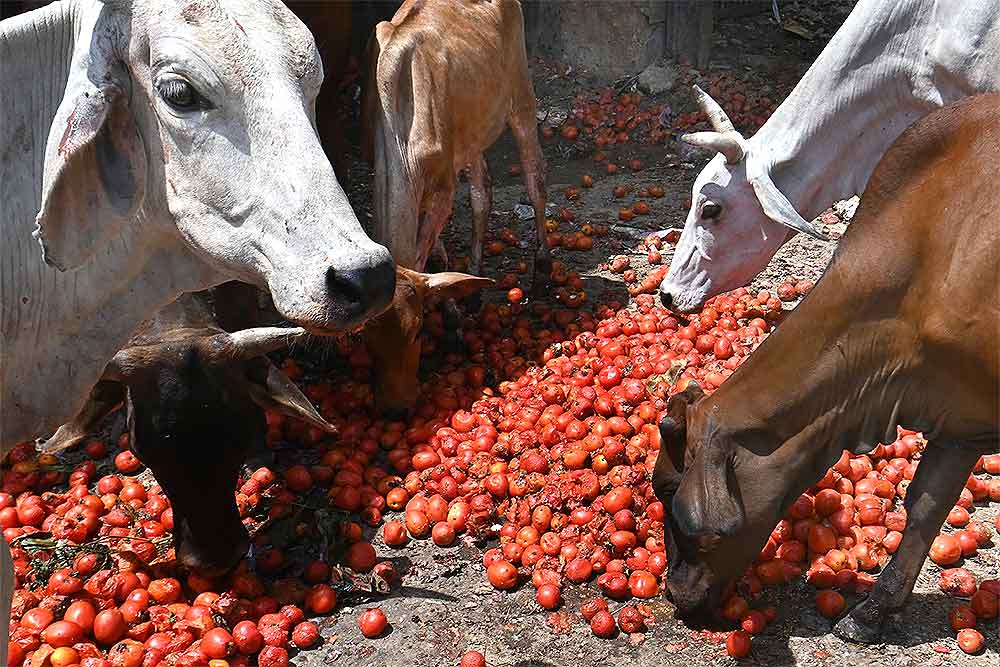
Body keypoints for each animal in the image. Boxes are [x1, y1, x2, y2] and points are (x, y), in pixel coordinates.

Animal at [362, 0, 548, 280]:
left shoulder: (444, 188)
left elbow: (419, 259)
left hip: (521, 93)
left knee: (535, 176)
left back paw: (544, 266)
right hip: (473, 128)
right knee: (482, 191)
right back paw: (475, 271)